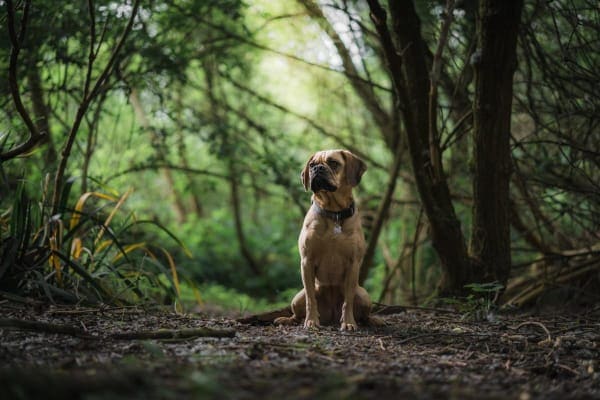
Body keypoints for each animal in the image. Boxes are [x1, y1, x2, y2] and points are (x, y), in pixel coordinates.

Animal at [276, 150, 376, 332]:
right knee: (297, 313)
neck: (334, 213)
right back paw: (287, 320)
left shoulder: (353, 264)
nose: (317, 168)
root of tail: (331, 316)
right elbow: (310, 299)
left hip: (365, 296)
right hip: (297, 298)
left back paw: (372, 320)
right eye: (312, 164)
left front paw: (349, 322)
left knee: (364, 314)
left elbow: (348, 301)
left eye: (333, 163)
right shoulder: (307, 262)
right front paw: (311, 321)